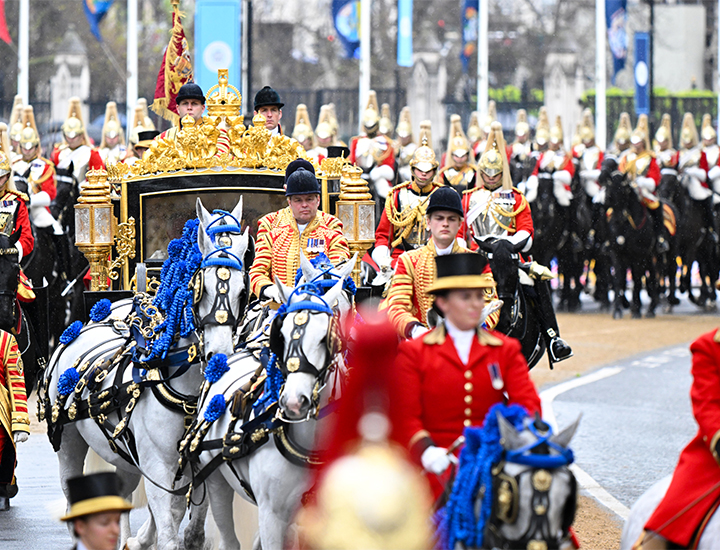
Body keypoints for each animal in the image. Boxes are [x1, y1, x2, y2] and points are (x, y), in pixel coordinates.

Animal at [42, 198, 252, 550]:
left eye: (242, 290)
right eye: (201, 288)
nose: (220, 356)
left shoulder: (195, 461)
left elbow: (189, 515)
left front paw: (179, 536)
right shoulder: (158, 464)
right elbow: (168, 526)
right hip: (69, 440)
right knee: (73, 494)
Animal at [600, 160, 660, 320]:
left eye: (624, 192)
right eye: (609, 195)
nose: (617, 220)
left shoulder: (638, 254)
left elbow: (638, 280)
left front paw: (637, 310)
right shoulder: (616, 253)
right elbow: (618, 280)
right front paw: (617, 310)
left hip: (651, 255)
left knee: (652, 277)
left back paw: (650, 309)